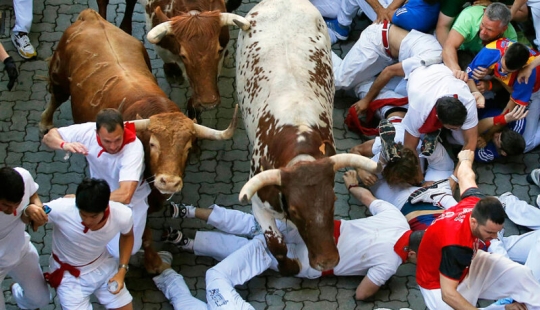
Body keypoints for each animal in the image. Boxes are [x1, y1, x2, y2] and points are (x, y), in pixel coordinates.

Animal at [39, 10, 237, 213]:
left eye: (188, 148)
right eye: (153, 144)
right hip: (59, 77)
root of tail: (91, 16)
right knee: (56, 97)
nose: (169, 182)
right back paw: (45, 122)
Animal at [234, 0, 382, 274]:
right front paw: (290, 266)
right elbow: (276, 243)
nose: (327, 261)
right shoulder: (258, 203)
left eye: (333, 201)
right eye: (295, 210)